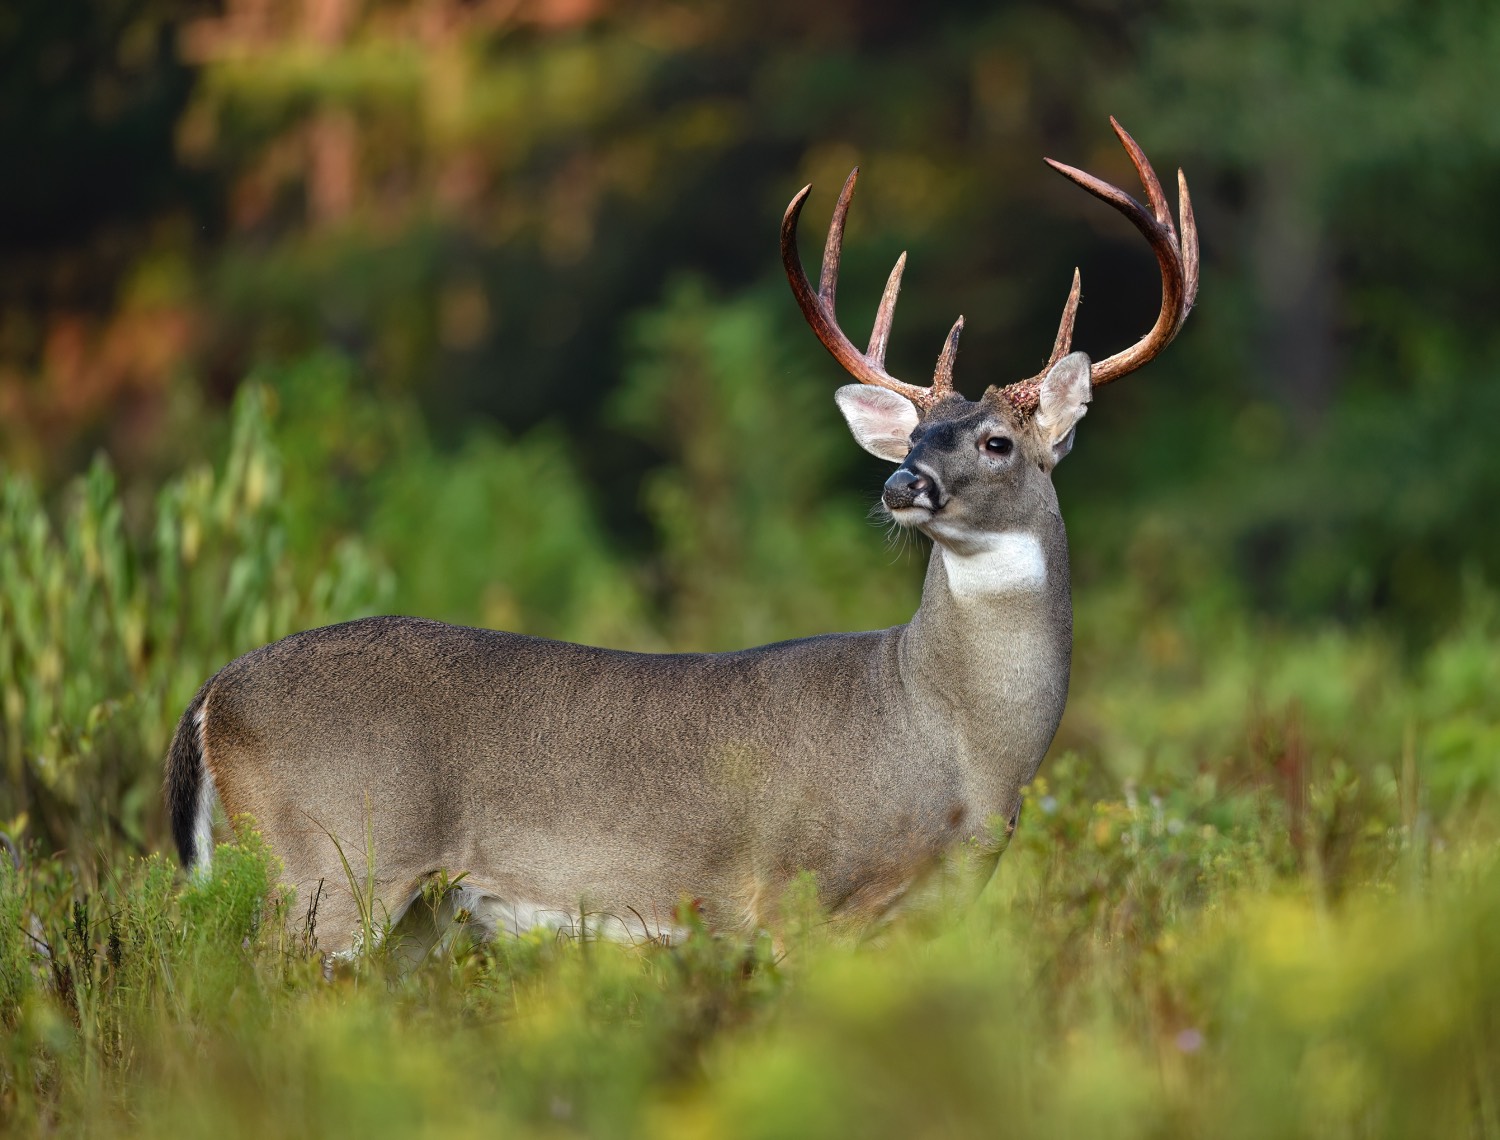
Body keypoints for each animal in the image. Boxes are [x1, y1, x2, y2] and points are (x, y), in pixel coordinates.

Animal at [161, 117, 1194, 954]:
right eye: (913, 438)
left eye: (993, 441)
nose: (903, 483)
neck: (951, 743)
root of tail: (210, 696)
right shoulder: (794, 893)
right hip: (334, 866)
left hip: (407, 913)